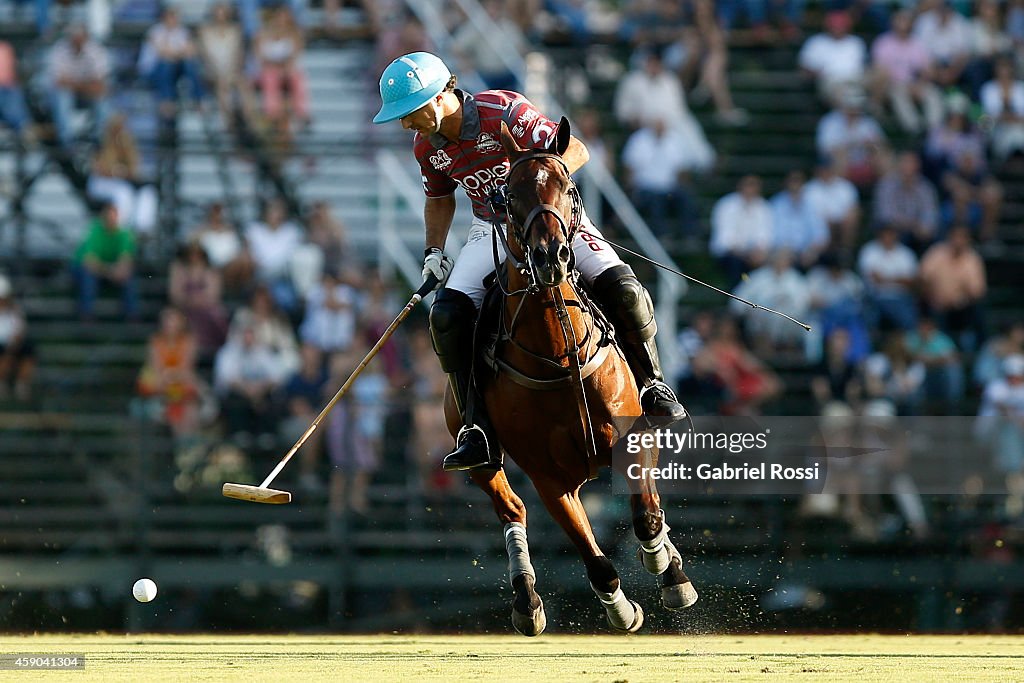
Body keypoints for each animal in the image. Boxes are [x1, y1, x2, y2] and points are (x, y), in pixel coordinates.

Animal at [444, 118, 700, 634]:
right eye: (509, 194)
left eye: (568, 187)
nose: (551, 257)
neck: (558, 356)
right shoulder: (549, 478)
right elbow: (597, 562)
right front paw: (623, 611)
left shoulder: (634, 440)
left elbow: (646, 519)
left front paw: (666, 570)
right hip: (482, 457)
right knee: (510, 506)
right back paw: (526, 601)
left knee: (624, 288)